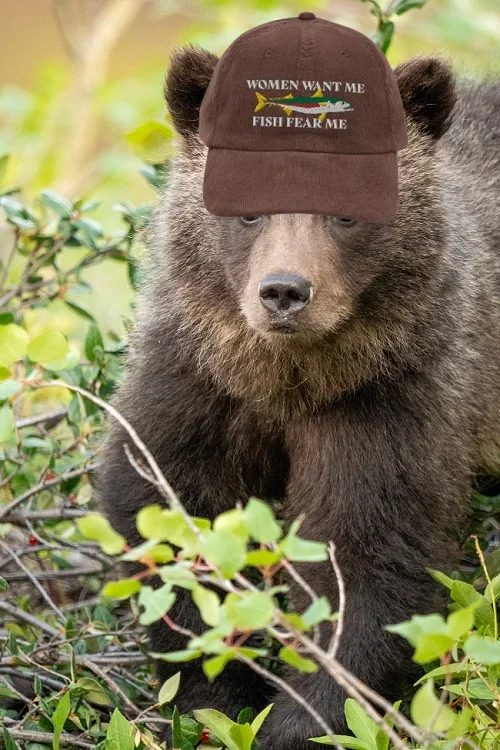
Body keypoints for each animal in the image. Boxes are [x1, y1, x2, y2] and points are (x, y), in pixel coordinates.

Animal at [97, 47, 500, 749]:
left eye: (346, 212)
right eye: (248, 209)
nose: (284, 290)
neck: (293, 377)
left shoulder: (396, 396)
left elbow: (368, 558)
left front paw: (300, 720)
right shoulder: (199, 382)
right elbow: (168, 516)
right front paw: (220, 692)